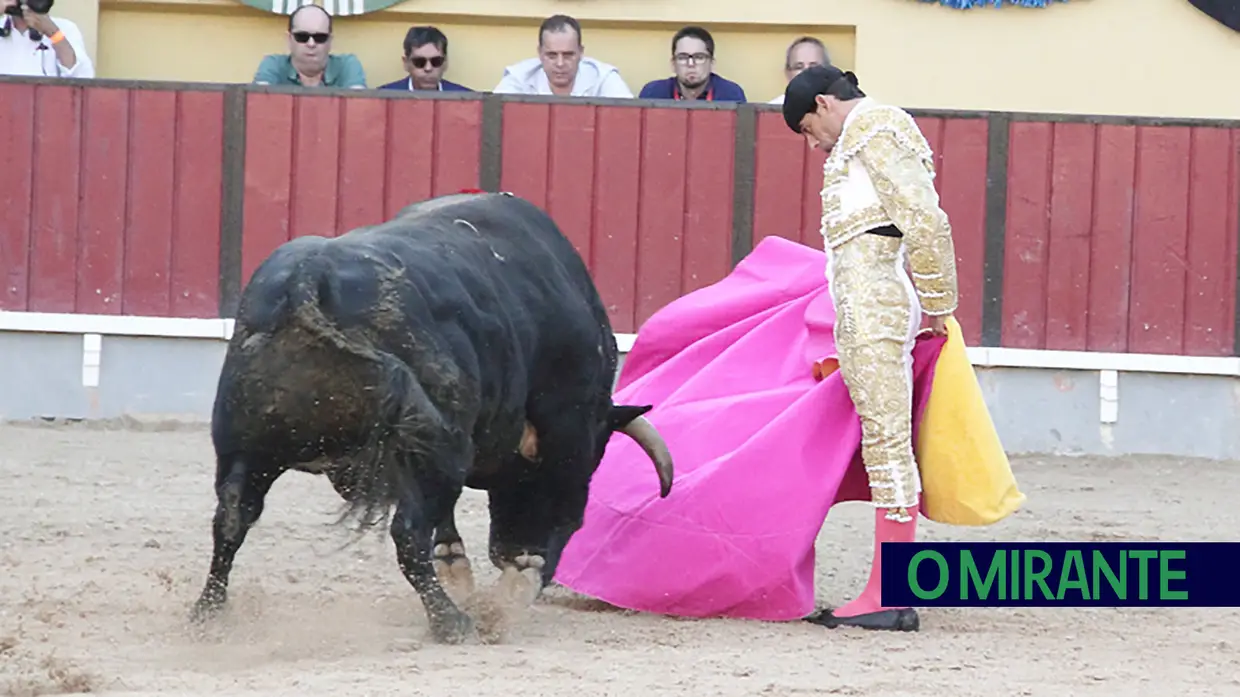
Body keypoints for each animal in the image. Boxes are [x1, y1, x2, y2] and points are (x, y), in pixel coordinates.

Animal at [190, 189, 679, 639]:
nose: (508, 552)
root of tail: (309, 278)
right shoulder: (567, 431)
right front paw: (511, 589)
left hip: (246, 448)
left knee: (231, 518)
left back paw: (207, 616)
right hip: (435, 453)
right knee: (408, 533)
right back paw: (451, 622)